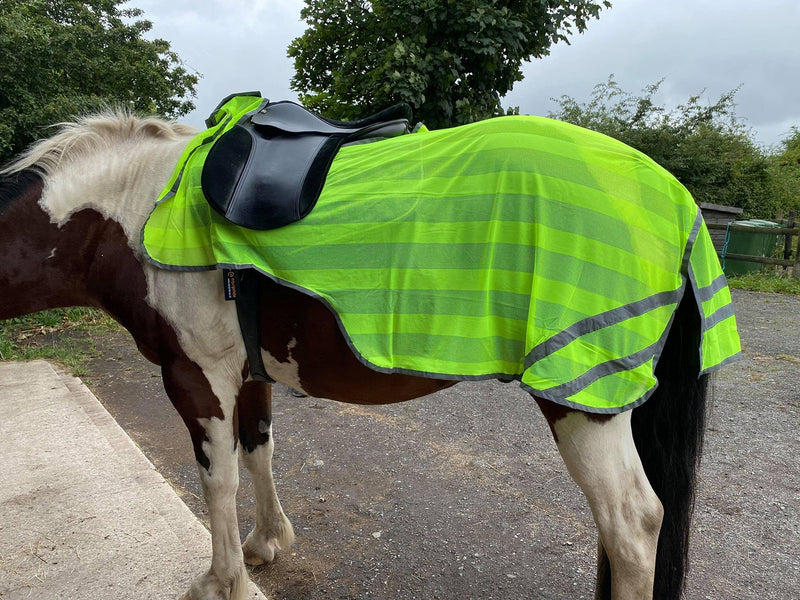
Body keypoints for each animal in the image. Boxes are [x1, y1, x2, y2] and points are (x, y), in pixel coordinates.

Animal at [3, 113, 708, 600]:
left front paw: (221, 581)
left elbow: (218, 480)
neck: (134, 206)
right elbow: (258, 451)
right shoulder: (250, 373)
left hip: (581, 394)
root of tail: (673, 194)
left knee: (632, 525)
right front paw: (266, 545)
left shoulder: (196, 376)